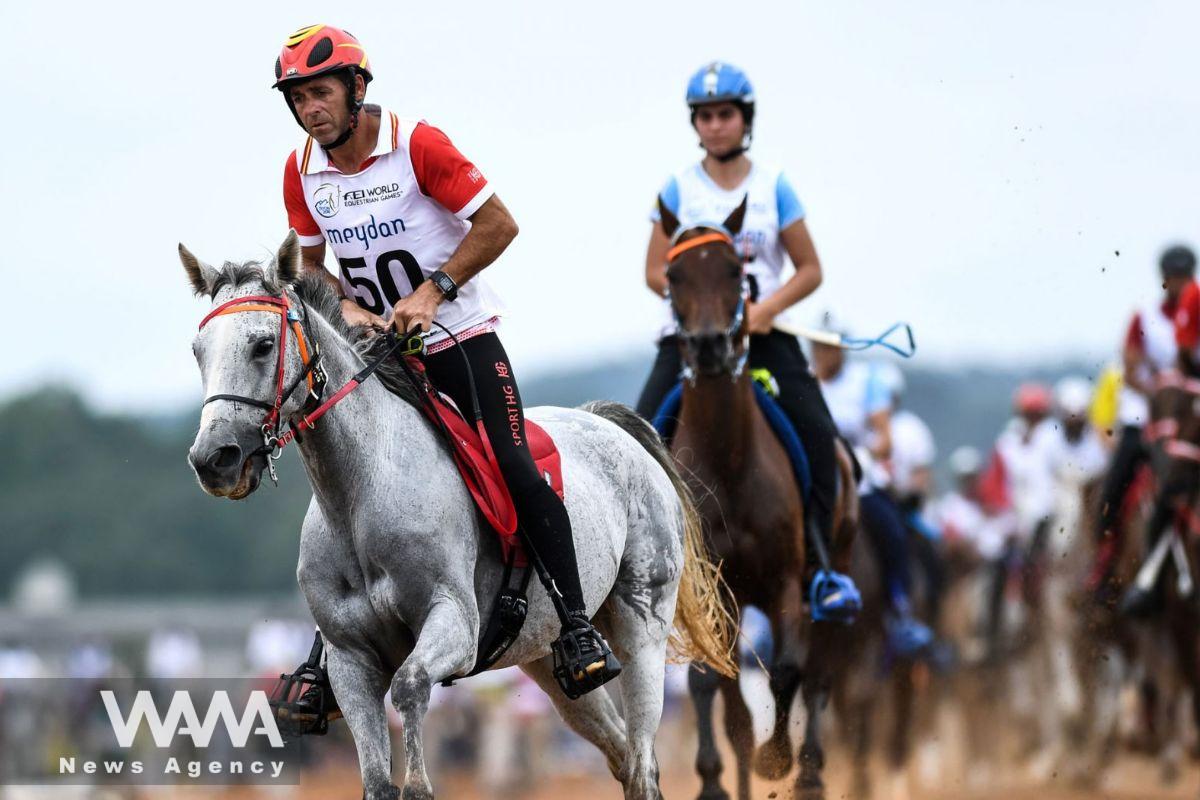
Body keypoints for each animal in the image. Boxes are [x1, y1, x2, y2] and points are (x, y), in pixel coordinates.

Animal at [180, 231, 736, 800]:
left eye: (262, 345)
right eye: (199, 351)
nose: (214, 459)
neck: (361, 497)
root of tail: (613, 427)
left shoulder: (455, 624)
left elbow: (410, 690)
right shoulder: (350, 661)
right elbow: (376, 779)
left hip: (640, 625)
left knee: (642, 761)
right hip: (547, 661)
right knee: (622, 754)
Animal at [654, 201, 859, 800]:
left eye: (733, 269)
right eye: (673, 276)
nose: (708, 346)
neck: (729, 461)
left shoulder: (786, 582)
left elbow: (789, 671)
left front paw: (776, 758)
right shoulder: (710, 593)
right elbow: (709, 683)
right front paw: (714, 782)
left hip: (832, 575)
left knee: (819, 676)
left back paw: (808, 770)